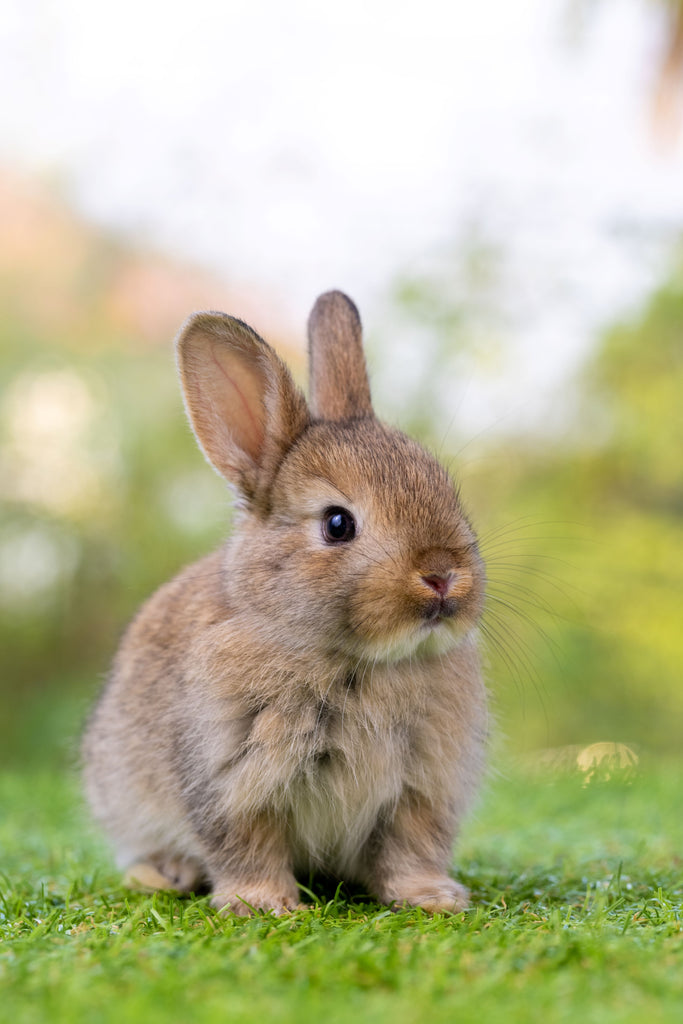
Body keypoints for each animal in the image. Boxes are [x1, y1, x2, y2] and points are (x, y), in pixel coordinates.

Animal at [81, 292, 485, 917]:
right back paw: (164, 874)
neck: (352, 659)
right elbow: (247, 844)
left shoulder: (420, 790)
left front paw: (432, 898)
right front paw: (262, 905)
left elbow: (410, 847)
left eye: (447, 490)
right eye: (338, 524)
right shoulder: (229, 778)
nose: (442, 576)